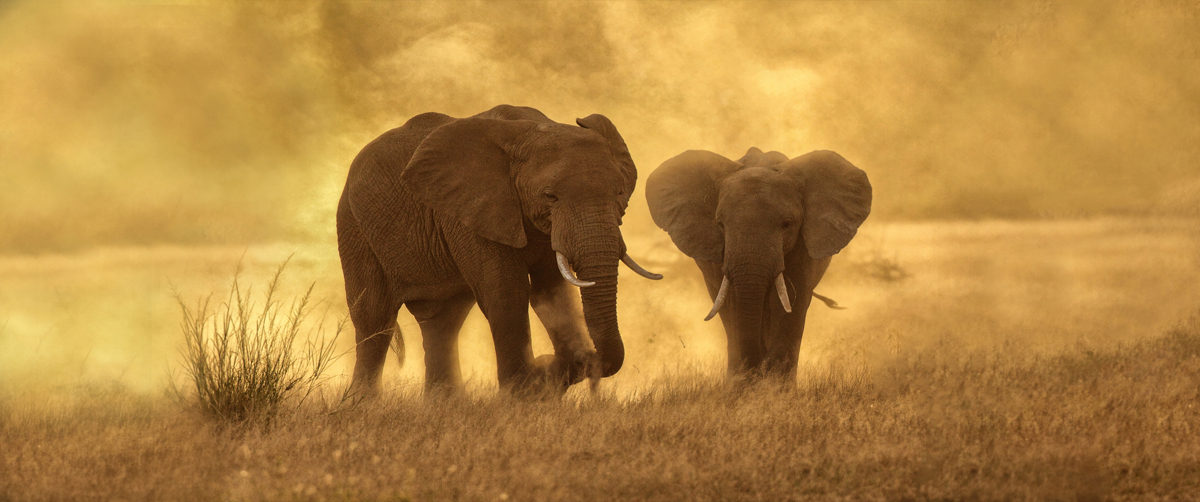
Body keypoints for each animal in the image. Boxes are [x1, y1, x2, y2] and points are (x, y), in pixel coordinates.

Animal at [336, 105, 667, 396]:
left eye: (620, 192)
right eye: (550, 196)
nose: (590, 358)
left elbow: (551, 293)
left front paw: (546, 377)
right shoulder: (474, 211)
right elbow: (507, 292)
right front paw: (523, 392)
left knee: (443, 320)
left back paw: (444, 405)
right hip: (354, 226)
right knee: (375, 318)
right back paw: (363, 405)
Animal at [648, 147, 873, 379]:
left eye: (787, 224)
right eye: (720, 224)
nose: (759, 368)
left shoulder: (803, 247)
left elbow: (792, 304)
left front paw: (775, 384)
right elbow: (731, 306)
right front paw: (744, 382)